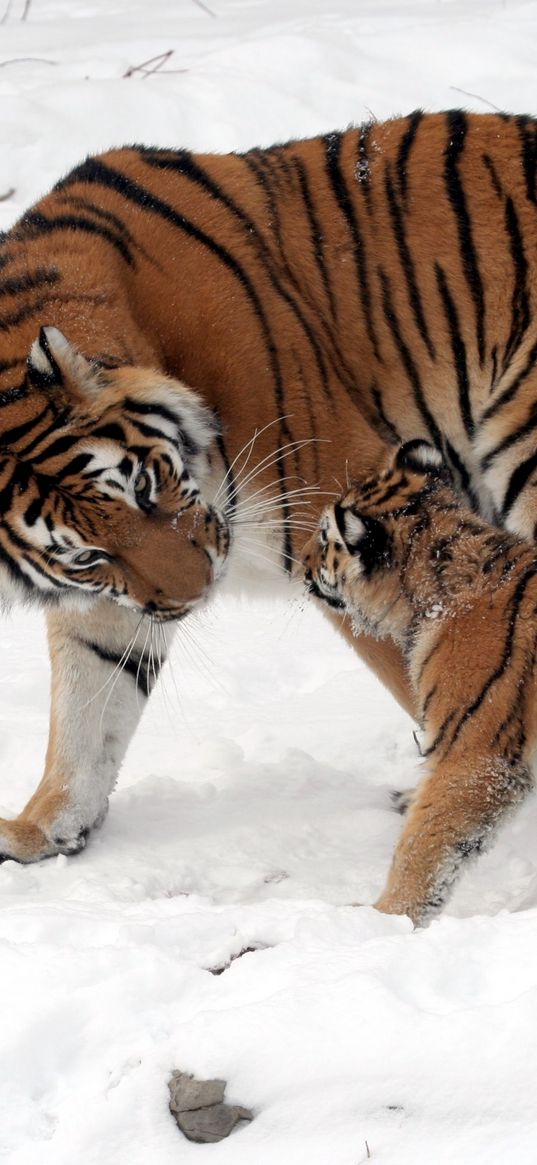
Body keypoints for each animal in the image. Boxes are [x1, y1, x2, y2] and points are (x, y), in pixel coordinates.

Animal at [1, 111, 535, 866]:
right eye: (86, 556)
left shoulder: (343, 507)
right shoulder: (115, 596)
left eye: (145, 486)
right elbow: (88, 702)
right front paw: (43, 828)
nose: (198, 593)